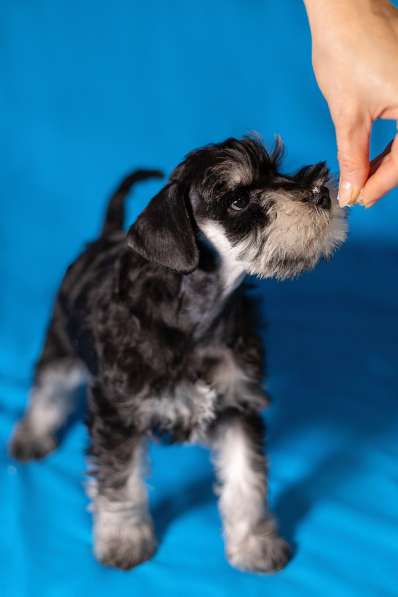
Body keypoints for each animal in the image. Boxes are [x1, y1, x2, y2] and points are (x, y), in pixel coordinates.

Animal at [8, 136, 346, 572]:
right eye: (238, 200)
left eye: (276, 168)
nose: (320, 191)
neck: (200, 311)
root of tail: (106, 236)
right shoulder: (118, 413)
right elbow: (121, 482)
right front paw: (123, 541)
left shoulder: (238, 406)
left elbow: (247, 479)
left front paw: (255, 544)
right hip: (62, 341)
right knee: (47, 387)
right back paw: (30, 437)